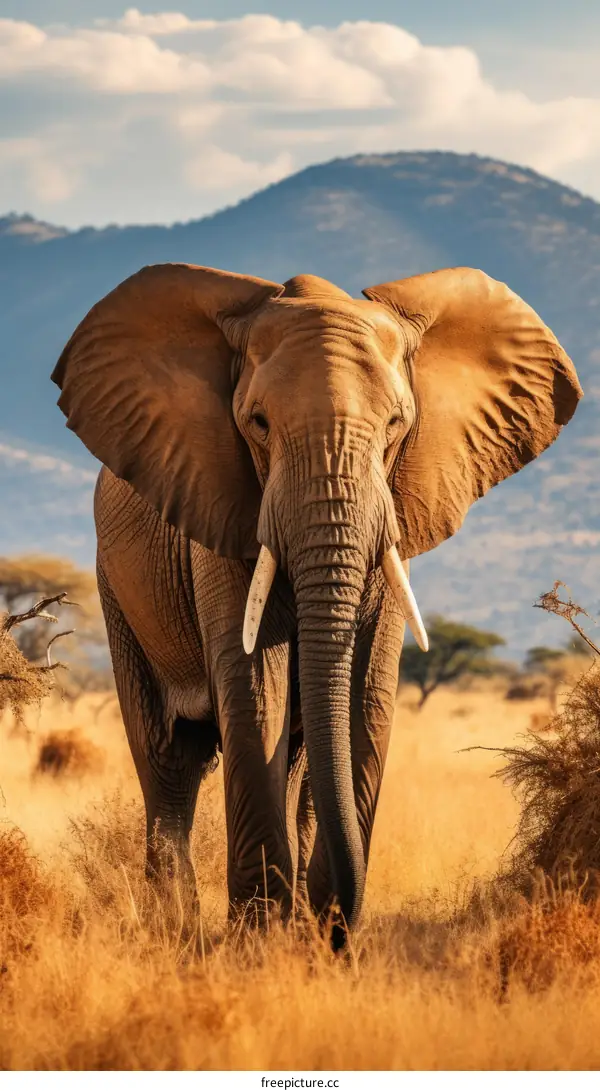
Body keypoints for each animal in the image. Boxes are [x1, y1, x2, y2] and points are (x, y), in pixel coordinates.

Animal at [51, 263, 582, 946]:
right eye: (257, 423)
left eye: (396, 426)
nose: (339, 926)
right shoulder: (221, 510)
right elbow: (256, 687)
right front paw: (259, 943)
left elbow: (368, 692)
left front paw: (319, 940)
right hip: (114, 587)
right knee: (168, 759)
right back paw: (177, 929)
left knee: (293, 765)